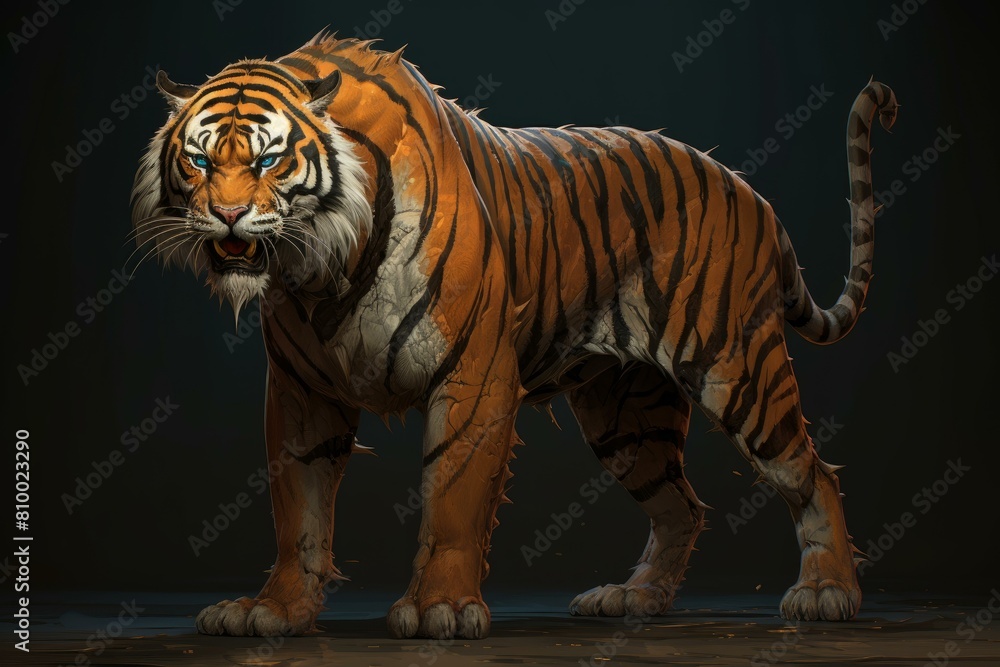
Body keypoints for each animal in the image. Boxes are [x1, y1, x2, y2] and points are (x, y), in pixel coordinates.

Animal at [131, 30, 898, 640]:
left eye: (268, 160)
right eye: (198, 160)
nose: (227, 217)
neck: (320, 265)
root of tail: (752, 193)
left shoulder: (472, 374)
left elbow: (453, 495)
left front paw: (440, 607)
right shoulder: (301, 393)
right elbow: (299, 510)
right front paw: (275, 610)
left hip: (736, 367)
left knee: (811, 473)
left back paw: (828, 592)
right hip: (627, 416)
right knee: (681, 505)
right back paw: (637, 597)